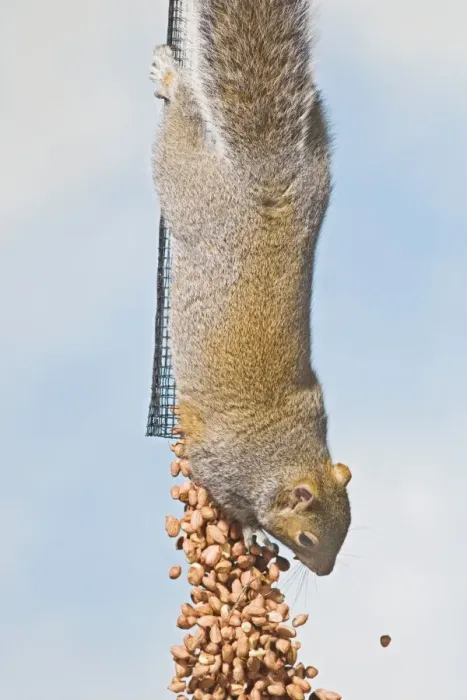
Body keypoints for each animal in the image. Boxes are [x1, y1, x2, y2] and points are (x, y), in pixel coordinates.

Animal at [150, 0, 352, 577]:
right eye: (308, 539)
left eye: (348, 529)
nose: (326, 572)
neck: (283, 451)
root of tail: (268, 174)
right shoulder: (218, 464)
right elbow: (226, 500)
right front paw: (244, 529)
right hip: (187, 183)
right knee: (181, 127)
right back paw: (171, 77)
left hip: (317, 164)